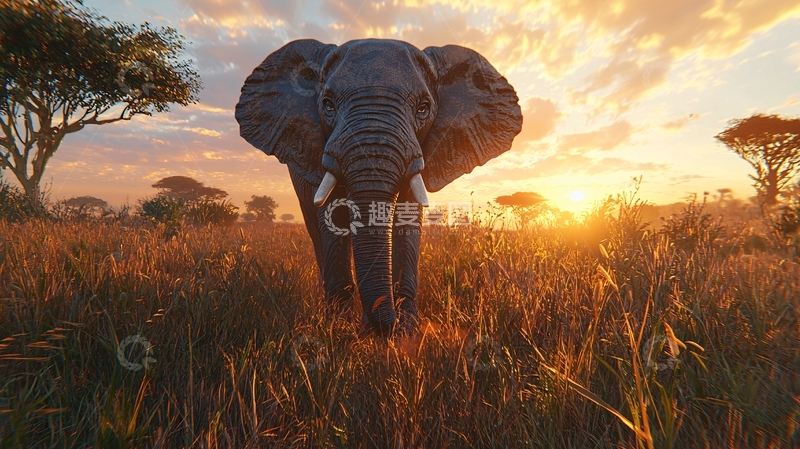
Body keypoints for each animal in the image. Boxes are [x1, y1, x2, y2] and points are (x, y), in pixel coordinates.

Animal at [235, 39, 522, 336]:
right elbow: (332, 219)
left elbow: (407, 221)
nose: (380, 326)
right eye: (327, 105)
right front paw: (338, 329)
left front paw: (406, 329)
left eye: (423, 108)